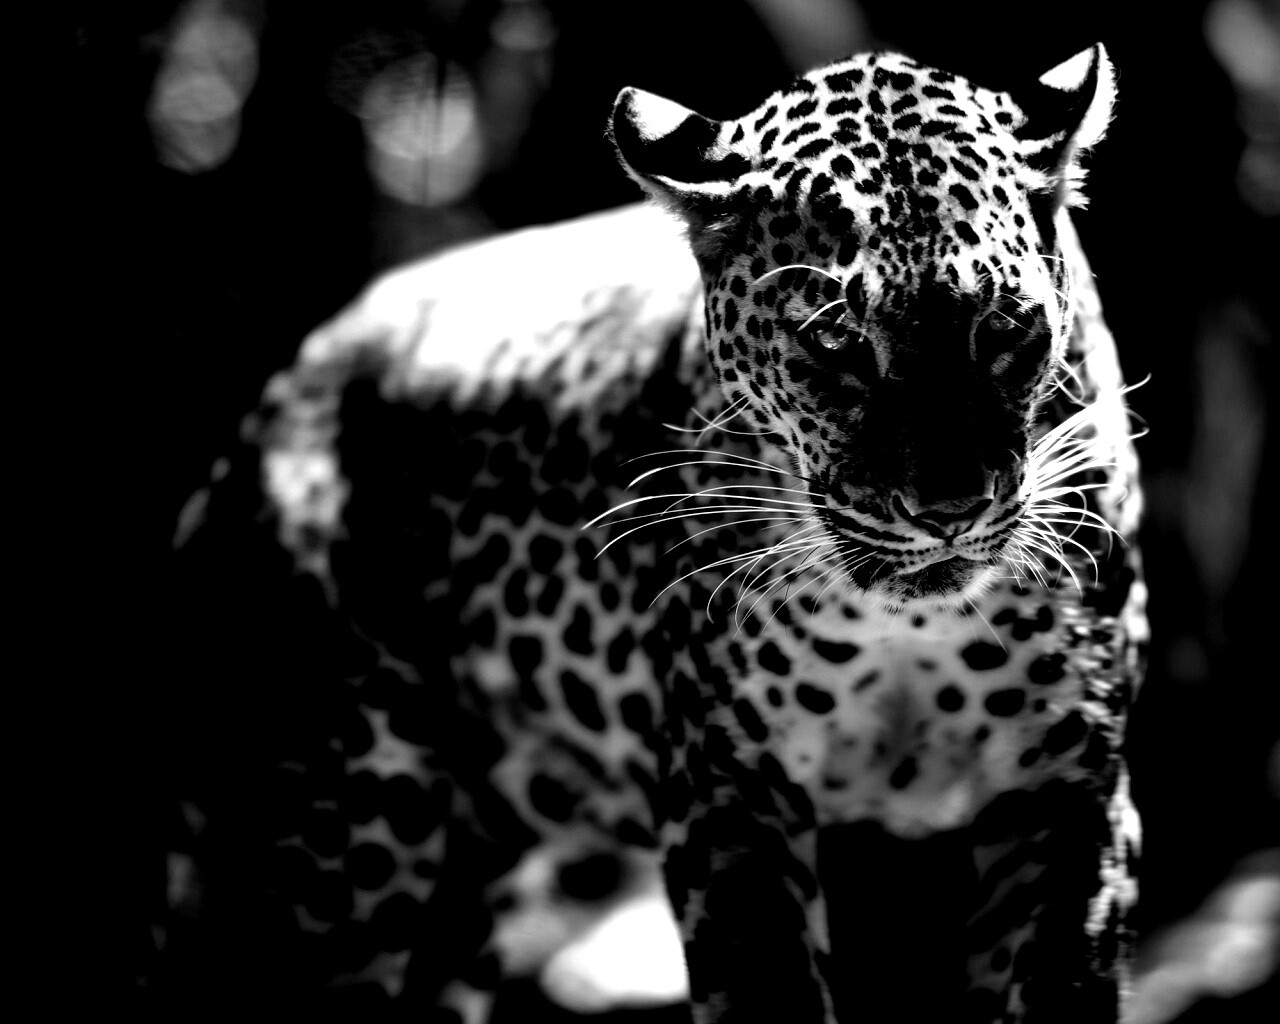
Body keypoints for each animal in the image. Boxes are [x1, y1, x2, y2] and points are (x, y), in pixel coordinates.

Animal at [159, 43, 1147, 1024]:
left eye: (1004, 329)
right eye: (835, 340)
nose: (949, 510)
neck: (908, 627)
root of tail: (264, 411)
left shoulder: (1068, 791)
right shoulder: (730, 794)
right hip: (343, 836)